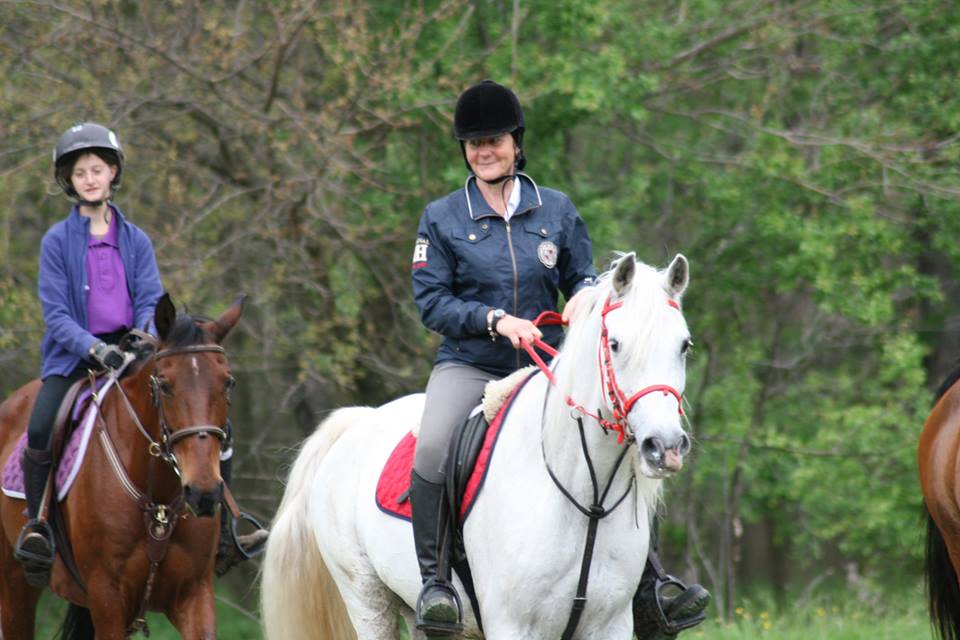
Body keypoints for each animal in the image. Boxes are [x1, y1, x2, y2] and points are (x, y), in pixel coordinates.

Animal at [0, 292, 242, 639]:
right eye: (164, 385)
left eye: (228, 383)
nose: (203, 493)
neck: (157, 500)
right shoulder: (108, 599)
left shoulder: (195, 593)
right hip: (14, 585)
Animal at [262, 253, 695, 640]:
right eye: (616, 344)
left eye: (684, 345)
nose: (665, 446)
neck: (588, 500)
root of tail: (358, 421)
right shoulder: (513, 626)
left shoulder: (609, 626)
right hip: (366, 598)